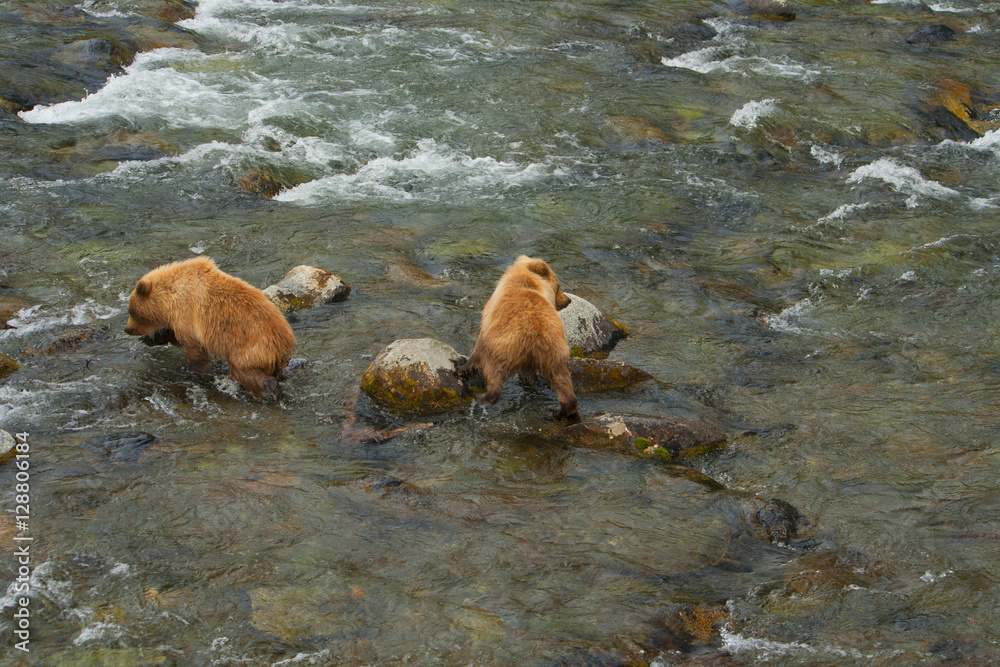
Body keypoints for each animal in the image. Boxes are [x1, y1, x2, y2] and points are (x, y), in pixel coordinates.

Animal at [124, 256, 296, 402]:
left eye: (131, 311)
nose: (127, 329)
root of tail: (285, 341)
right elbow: (176, 336)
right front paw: (151, 338)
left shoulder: (188, 312)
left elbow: (195, 350)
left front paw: (189, 373)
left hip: (249, 349)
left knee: (246, 373)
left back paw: (271, 394)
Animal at [460, 255, 578, 420]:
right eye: (559, 286)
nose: (567, 300)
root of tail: (536, 333)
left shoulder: (490, 324)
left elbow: (478, 349)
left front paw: (463, 367)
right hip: (555, 351)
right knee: (562, 381)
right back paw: (561, 411)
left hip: (504, 345)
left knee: (493, 372)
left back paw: (482, 396)